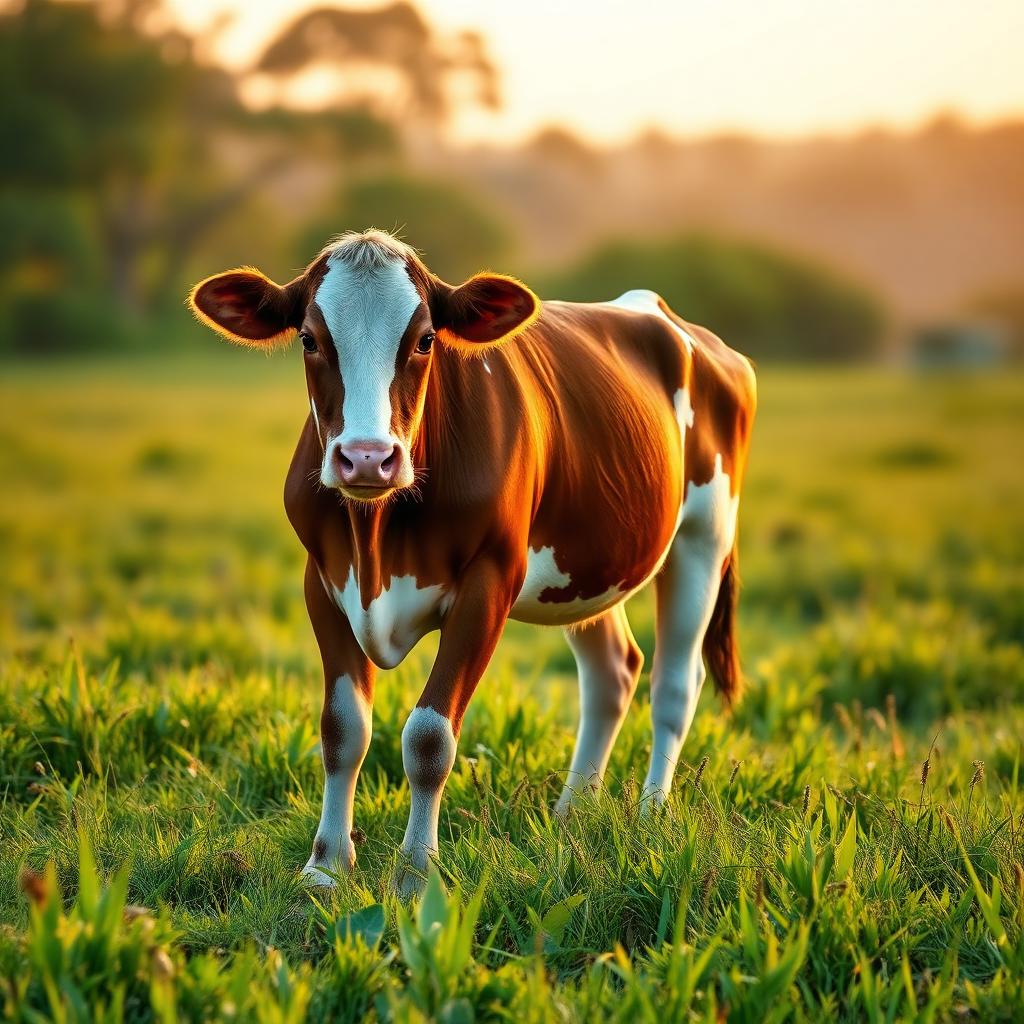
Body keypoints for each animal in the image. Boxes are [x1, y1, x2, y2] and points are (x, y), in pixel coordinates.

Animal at [188, 229, 756, 894]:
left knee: (674, 681)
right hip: (585, 565)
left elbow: (429, 737)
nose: (366, 458)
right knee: (613, 669)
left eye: (425, 339)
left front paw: (415, 873)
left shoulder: (491, 580)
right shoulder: (321, 580)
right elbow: (342, 728)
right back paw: (572, 812)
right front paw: (325, 866)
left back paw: (650, 813)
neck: (377, 536)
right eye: (309, 338)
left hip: (704, 533)